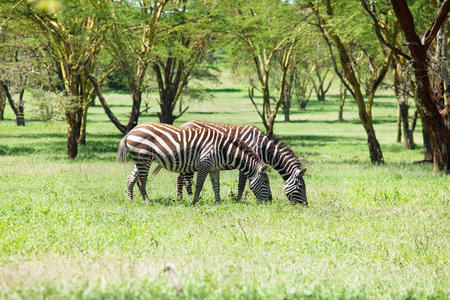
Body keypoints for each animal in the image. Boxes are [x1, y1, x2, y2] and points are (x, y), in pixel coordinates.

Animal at [118, 122, 270, 204]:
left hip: (141, 159)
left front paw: (218, 202)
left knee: (132, 177)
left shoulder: (214, 168)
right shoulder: (204, 164)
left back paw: (130, 199)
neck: (223, 149)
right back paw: (147, 201)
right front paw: (194, 202)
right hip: (143, 157)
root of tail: (131, 131)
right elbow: (199, 185)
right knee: (142, 180)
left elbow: (216, 186)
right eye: (266, 182)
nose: (270, 202)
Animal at [178, 120, 308, 205]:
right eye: (301, 187)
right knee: (182, 179)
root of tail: (184, 124)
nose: (305, 205)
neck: (262, 146)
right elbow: (242, 184)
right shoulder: (247, 163)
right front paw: (238, 200)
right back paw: (183, 198)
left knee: (184, 178)